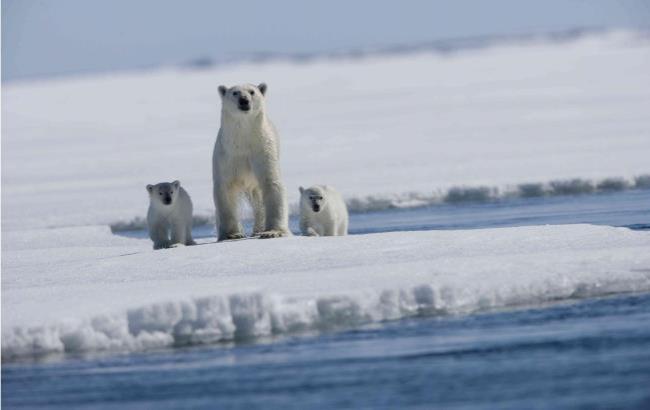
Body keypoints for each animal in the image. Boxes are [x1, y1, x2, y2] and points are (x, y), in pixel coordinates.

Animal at [213, 83, 288, 240]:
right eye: (235, 93)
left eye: (252, 92)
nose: (244, 100)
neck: (243, 140)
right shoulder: (227, 156)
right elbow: (225, 189)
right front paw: (232, 234)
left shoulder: (262, 150)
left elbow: (271, 183)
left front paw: (272, 232)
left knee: (259, 202)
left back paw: (258, 229)